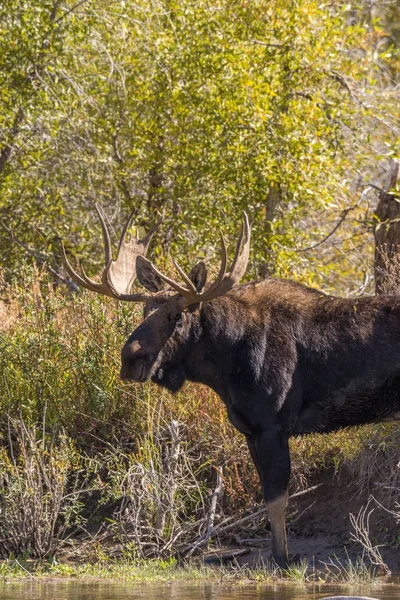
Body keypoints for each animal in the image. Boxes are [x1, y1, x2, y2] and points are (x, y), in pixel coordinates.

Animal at [62, 206, 400, 568]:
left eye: (177, 316)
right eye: (144, 310)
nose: (130, 359)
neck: (226, 366)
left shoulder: (272, 426)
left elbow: (277, 499)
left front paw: (282, 558)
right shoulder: (250, 431)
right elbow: (266, 498)